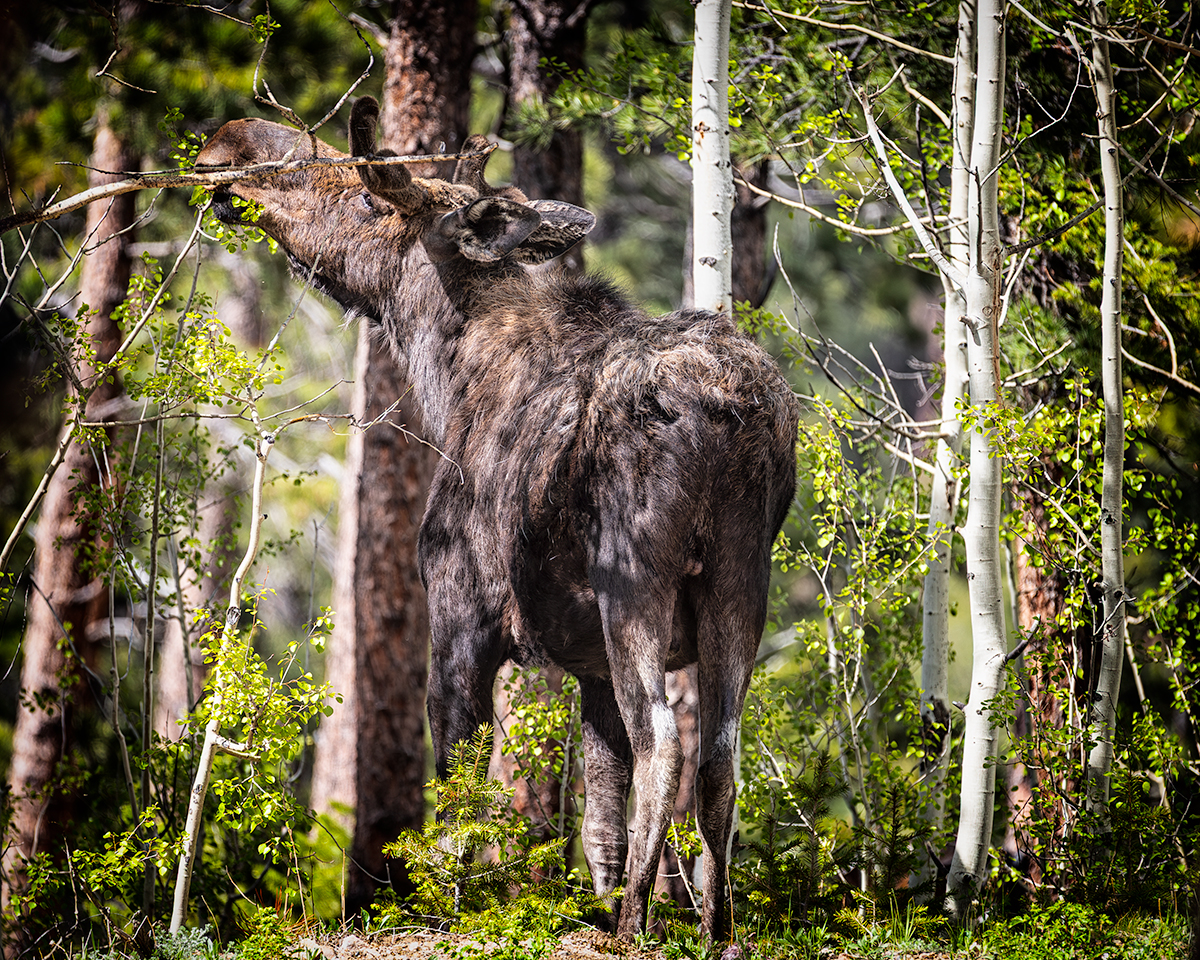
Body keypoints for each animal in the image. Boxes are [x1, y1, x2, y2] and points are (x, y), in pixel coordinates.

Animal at [195, 96, 798, 939]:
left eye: (369, 194)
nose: (231, 142)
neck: (449, 374)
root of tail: (731, 411)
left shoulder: (460, 621)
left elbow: (456, 801)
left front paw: (452, 914)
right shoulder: (588, 667)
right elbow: (597, 817)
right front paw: (592, 903)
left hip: (634, 577)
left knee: (666, 744)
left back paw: (637, 927)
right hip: (743, 580)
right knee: (718, 760)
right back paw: (716, 930)